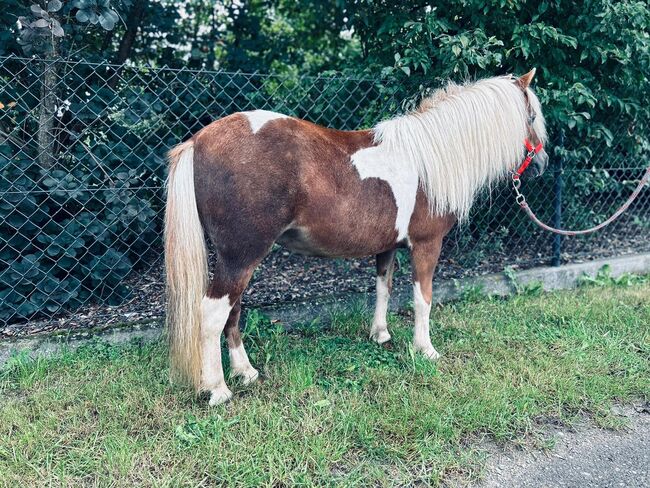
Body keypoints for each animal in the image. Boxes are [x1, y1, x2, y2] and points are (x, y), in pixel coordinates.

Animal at [163, 68, 548, 404]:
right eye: (531, 117)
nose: (542, 165)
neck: (430, 158)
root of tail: (199, 141)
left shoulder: (388, 246)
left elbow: (383, 287)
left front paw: (380, 334)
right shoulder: (427, 244)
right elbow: (422, 297)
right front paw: (425, 350)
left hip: (238, 258)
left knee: (233, 310)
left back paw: (246, 372)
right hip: (241, 255)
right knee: (213, 313)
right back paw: (218, 390)